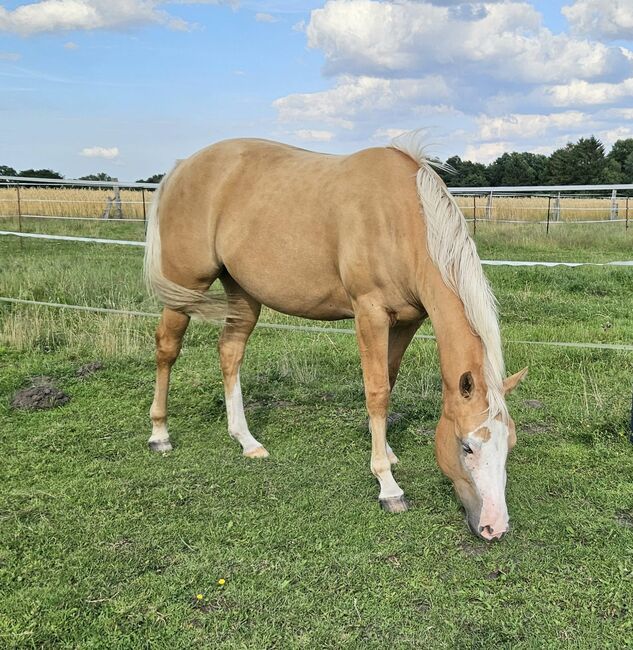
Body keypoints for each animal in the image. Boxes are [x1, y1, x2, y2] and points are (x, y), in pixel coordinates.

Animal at [146, 132, 524, 536]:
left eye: (510, 445)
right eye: (467, 447)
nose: (495, 527)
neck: (400, 219)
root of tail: (182, 166)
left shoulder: (407, 321)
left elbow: (388, 380)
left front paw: (388, 451)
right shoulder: (369, 314)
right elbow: (376, 393)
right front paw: (387, 485)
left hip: (243, 294)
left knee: (229, 352)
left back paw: (246, 441)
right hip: (185, 286)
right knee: (167, 348)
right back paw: (160, 434)